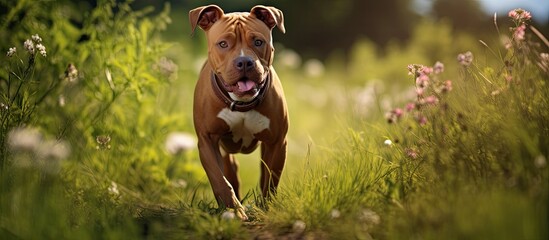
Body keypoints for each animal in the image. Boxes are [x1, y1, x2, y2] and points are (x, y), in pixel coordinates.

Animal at [189, 4, 286, 220]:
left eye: (258, 42)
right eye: (223, 44)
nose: (244, 62)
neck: (242, 104)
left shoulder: (277, 142)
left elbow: (270, 179)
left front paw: (265, 208)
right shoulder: (207, 141)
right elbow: (219, 179)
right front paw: (234, 211)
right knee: (230, 170)